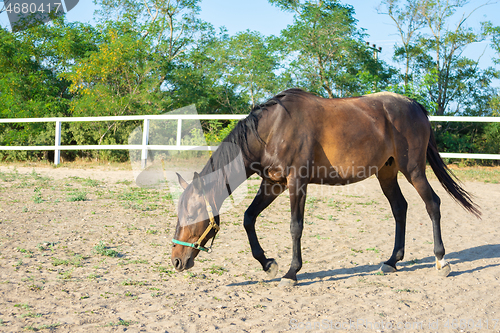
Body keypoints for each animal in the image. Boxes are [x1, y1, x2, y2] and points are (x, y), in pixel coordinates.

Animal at [172, 88, 480, 286]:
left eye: (192, 214)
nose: (176, 261)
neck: (273, 129)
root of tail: (414, 105)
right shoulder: (273, 183)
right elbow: (249, 218)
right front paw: (268, 264)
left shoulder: (297, 182)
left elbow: (295, 227)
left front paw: (291, 273)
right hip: (387, 172)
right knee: (400, 209)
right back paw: (392, 261)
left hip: (413, 169)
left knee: (432, 204)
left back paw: (441, 261)